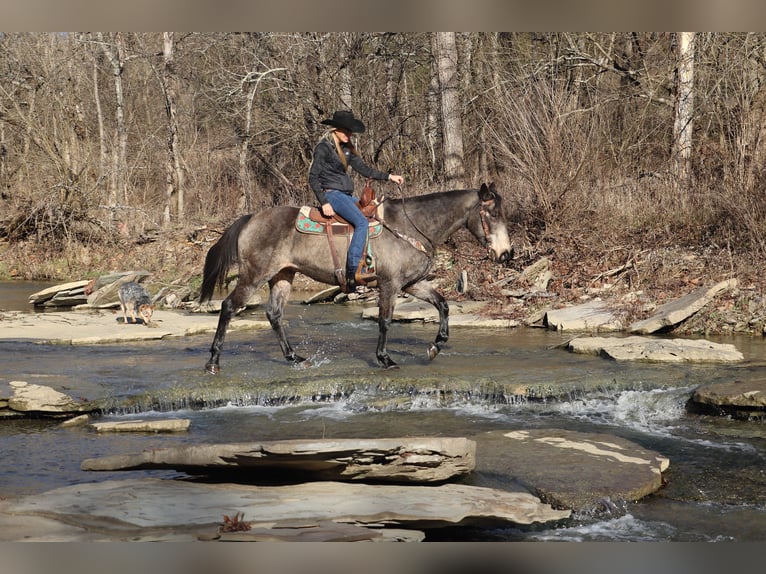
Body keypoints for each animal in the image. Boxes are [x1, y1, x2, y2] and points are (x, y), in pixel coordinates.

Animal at [201, 182, 512, 376]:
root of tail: (251, 218)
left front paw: (436, 345)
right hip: (254, 275)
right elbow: (385, 321)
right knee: (229, 307)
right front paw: (385, 359)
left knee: (274, 314)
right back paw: (213, 362)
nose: (506, 253)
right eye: (493, 213)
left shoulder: (411, 284)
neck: (411, 227)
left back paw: (295, 358)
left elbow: (443, 304)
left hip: (283, 275)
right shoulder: (390, 285)